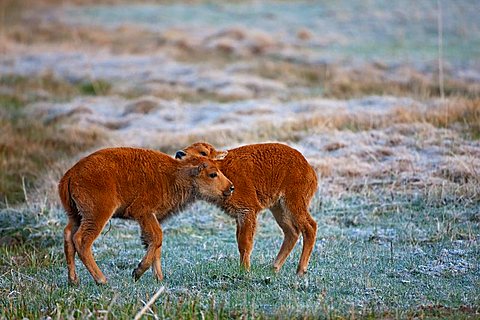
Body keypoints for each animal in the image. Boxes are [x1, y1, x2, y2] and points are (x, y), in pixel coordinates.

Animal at [58, 148, 234, 284]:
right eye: (212, 174)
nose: (231, 187)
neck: (174, 174)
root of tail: (71, 174)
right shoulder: (144, 213)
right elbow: (156, 238)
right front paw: (137, 272)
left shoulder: (152, 217)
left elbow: (155, 243)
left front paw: (159, 278)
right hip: (97, 215)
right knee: (81, 240)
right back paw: (102, 280)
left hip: (76, 215)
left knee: (68, 236)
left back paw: (73, 280)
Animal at [174, 142, 316, 276]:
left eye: (203, 153)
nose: (179, 154)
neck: (223, 168)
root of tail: (309, 170)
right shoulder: (239, 216)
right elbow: (239, 241)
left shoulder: (247, 211)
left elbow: (245, 242)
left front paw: (245, 270)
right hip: (279, 208)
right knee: (292, 232)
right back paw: (274, 268)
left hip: (293, 203)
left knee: (310, 227)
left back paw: (300, 271)